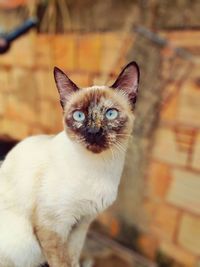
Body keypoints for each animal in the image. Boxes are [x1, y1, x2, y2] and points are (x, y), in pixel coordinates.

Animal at [0, 61, 140, 266]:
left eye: (110, 114)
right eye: (79, 116)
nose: (93, 131)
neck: (98, 168)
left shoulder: (81, 224)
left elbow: (73, 259)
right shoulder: (53, 227)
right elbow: (62, 262)